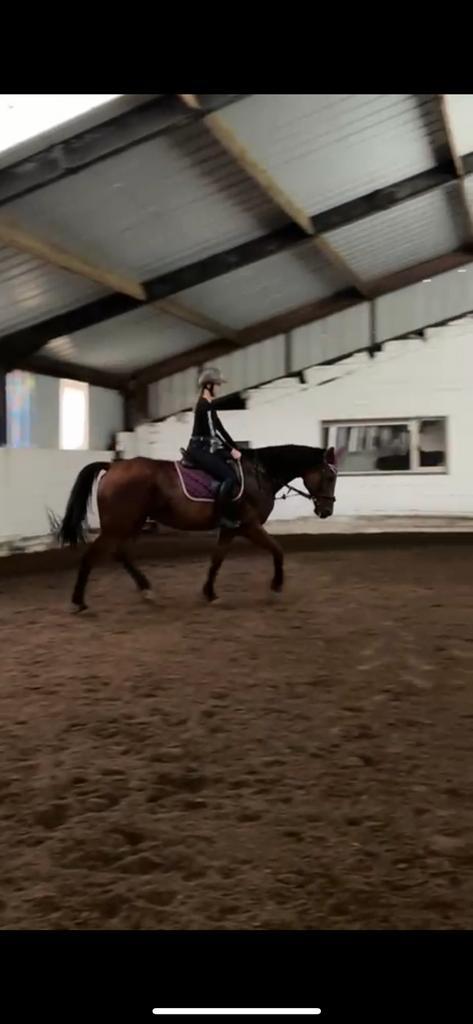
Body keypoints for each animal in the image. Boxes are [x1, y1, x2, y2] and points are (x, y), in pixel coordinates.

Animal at [58, 444, 339, 612]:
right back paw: (78, 601)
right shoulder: (249, 526)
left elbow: (217, 560)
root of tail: (113, 465)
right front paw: (276, 588)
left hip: (132, 523)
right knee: (93, 556)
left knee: (121, 553)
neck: (259, 475)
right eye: (329, 476)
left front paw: (210, 593)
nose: (326, 511)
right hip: (118, 525)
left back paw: (146, 590)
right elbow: (278, 551)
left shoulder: (230, 529)